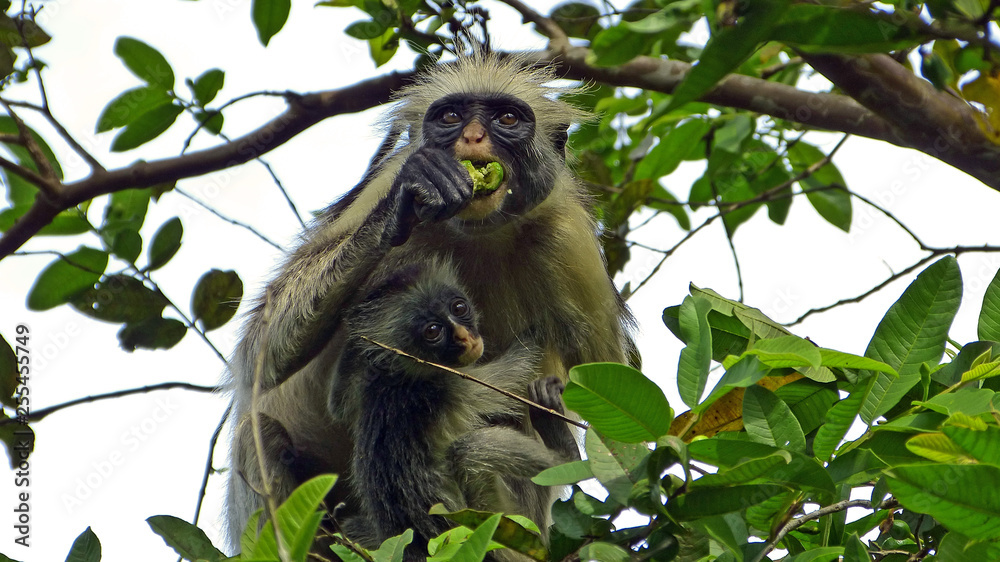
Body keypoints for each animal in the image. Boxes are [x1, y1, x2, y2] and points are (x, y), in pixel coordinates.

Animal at [334, 258, 580, 560]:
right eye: (432, 332)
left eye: (459, 308)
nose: (465, 337)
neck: (397, 377)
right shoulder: (447, 385)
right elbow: (515, 371)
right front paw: (542, 326)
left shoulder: (365, 383)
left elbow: (337, 402)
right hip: (499, 529)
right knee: (471, 449)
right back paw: (566, 454)